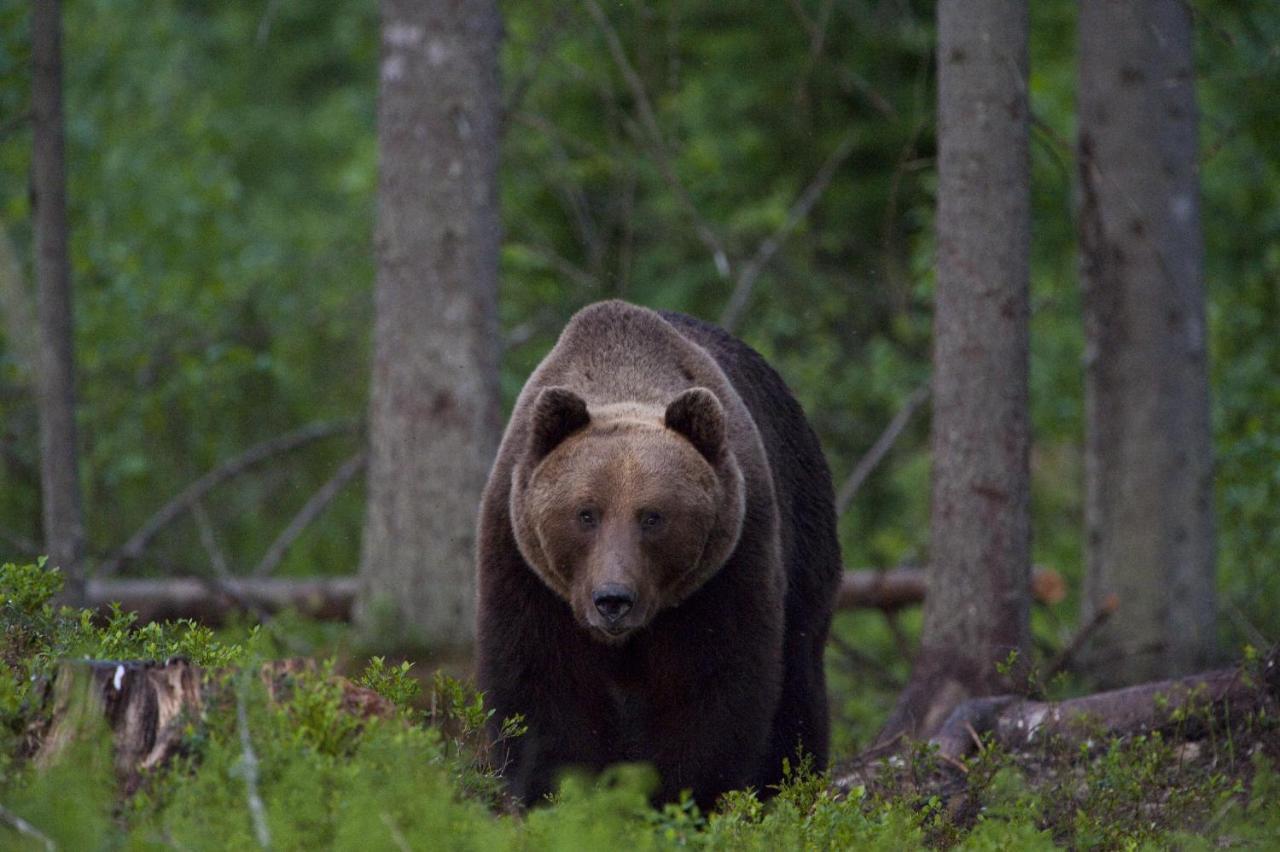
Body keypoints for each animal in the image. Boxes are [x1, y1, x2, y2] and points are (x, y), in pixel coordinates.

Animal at [476, 301, 844, 808]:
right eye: (585, 513)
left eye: (653, 516)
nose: (612, 600)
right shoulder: (525, 569)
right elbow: (542, 688)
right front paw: (559, 797)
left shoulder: (726, 568)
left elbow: (711, 690)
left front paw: (683, 799)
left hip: (804, 532)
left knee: (799, 676)